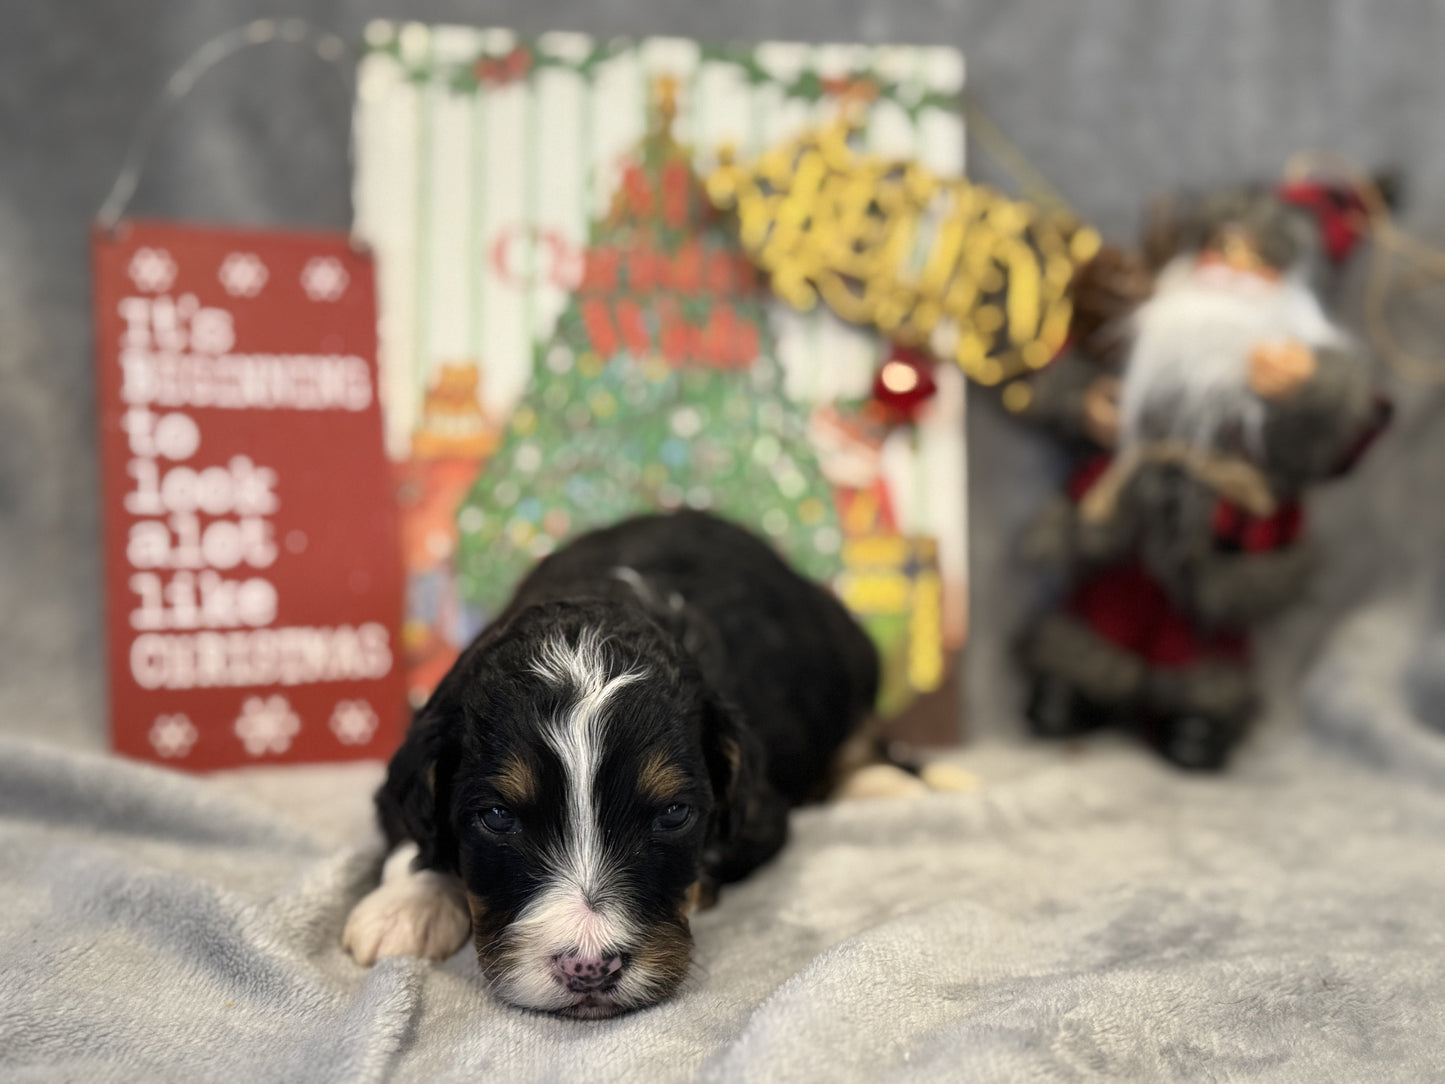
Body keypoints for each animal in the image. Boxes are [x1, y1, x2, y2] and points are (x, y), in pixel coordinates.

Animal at [341, 511, 878, 1017]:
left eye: (673, 814)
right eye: (496, 817)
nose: (589, 967)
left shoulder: (761, 813)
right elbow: (415, 829)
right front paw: (404, 910)